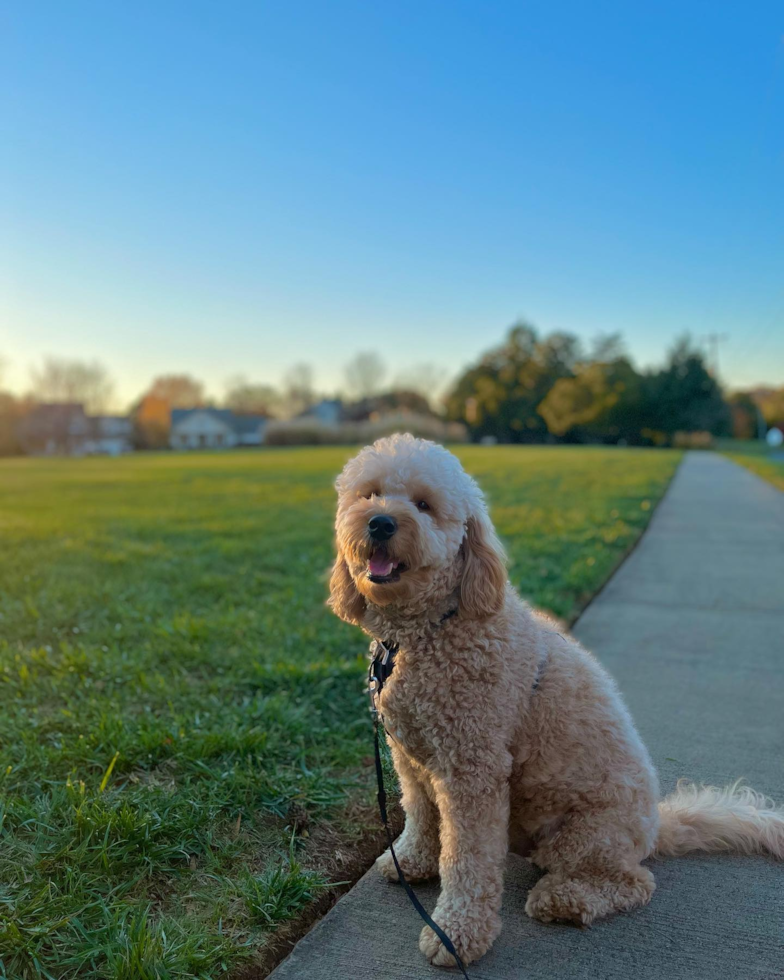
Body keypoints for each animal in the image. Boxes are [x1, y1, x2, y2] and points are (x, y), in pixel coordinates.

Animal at [330, 440, 784, 968]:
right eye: (370, 494)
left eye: (424, 505)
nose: (380, 522)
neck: (431, 629)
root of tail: (654, 827)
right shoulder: (410, 755)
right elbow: (421, 812)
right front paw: (414, 861)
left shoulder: (473, 769)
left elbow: (467, 858)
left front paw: (458, 932)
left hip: (583, 838)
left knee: (635, 882)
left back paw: (565, 899)